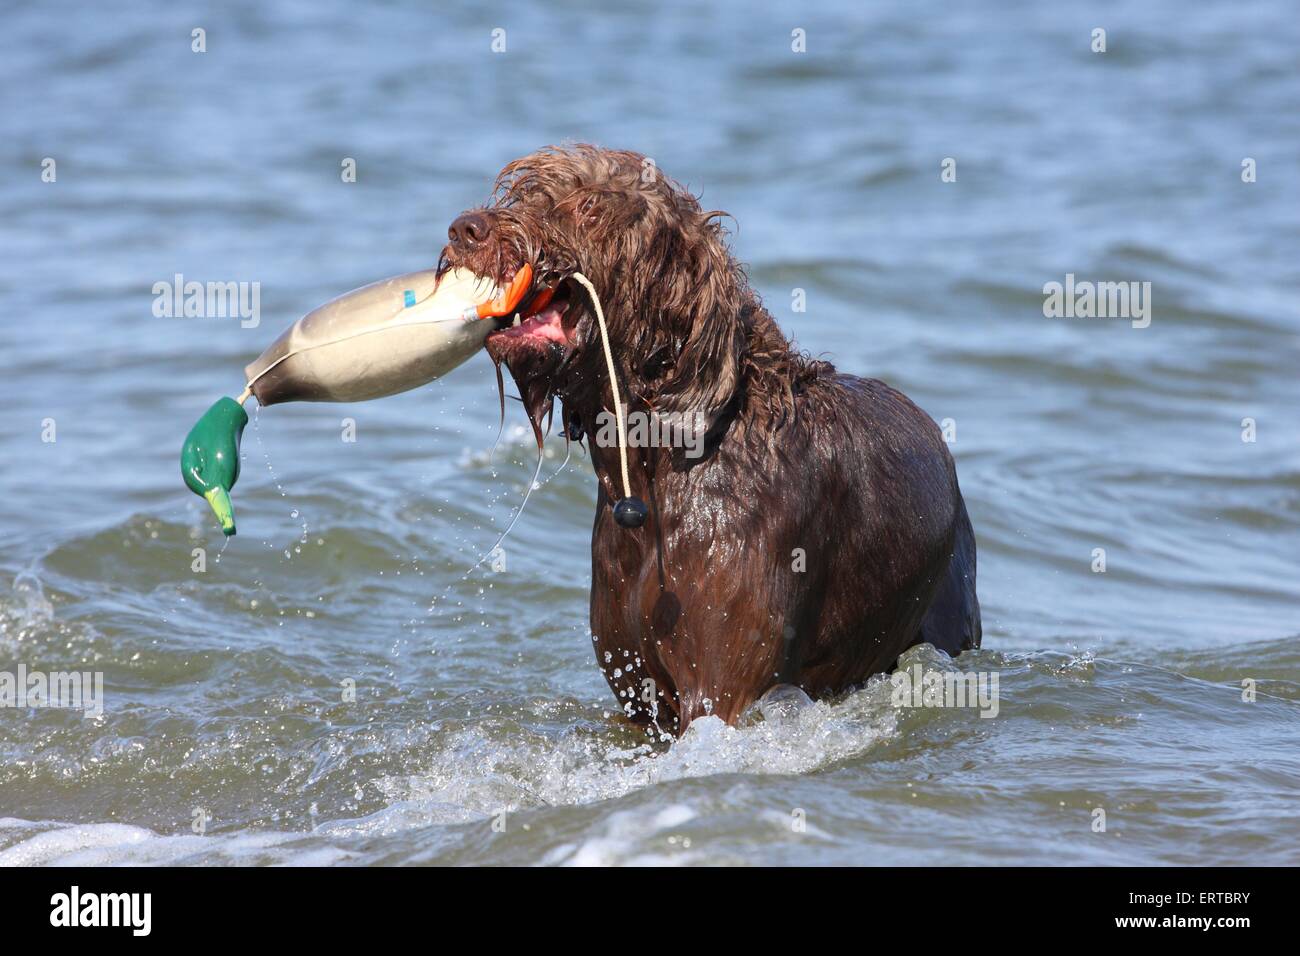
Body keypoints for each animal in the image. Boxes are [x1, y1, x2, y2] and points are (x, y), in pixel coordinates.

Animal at [441, 145, 977, 738]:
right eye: (525, 194)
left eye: (589, 207)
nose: (466, 228)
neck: (660, 457)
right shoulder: (638, 694)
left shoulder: (722, 688)